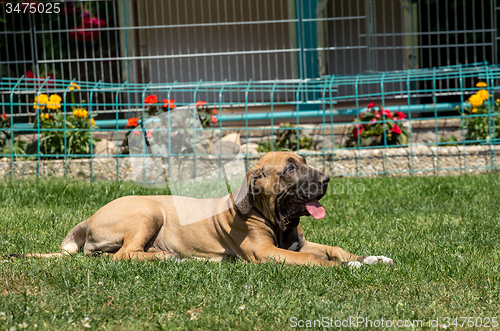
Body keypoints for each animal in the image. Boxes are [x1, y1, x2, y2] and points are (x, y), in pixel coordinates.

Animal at [17, 152, 392, 268]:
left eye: (303, 161)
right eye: (289, 168)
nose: (327, 179)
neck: (277, 220)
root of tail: (87, 220)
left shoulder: (299, 242)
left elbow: (335, 249)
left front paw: (368, 258)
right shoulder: (266, 252)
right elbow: (316, 260)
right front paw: (344, 268)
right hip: (149, 213)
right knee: (124, 255)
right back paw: (169, 257)